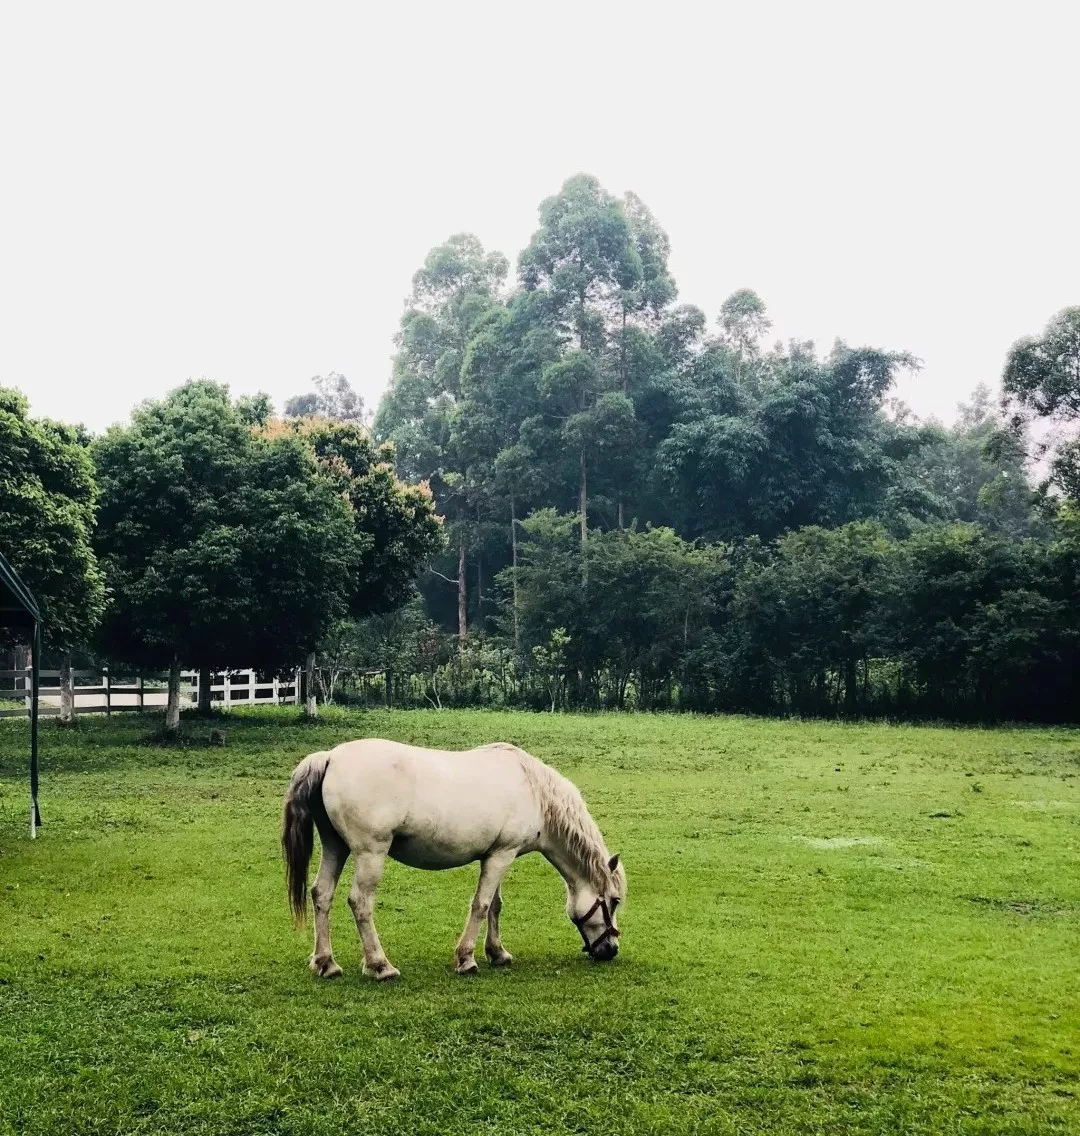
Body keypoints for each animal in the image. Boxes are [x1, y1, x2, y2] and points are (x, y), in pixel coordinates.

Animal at [282, 736, 631, 976]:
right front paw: (466, 958)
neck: (534, 791)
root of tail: (330, 757)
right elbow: (481, 905)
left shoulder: (497, 855)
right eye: (614, 901)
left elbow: (495, 906)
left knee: (321, 894)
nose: (611, 949)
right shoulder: (501, 856)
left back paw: (326, 963)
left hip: (335, 848)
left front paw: (497, 953)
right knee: (360, 902)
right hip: (371, 853)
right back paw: (380, 966)